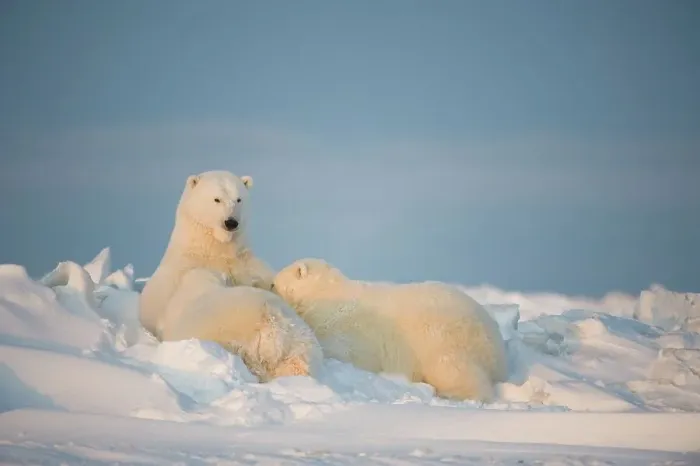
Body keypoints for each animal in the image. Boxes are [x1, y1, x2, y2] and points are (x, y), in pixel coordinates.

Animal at [273, 258, 509, 402]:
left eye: (275, 284)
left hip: (442, 338)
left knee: (454, 370)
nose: (270, 284)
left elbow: (347, 350)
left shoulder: (346, 325)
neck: (326, 293)